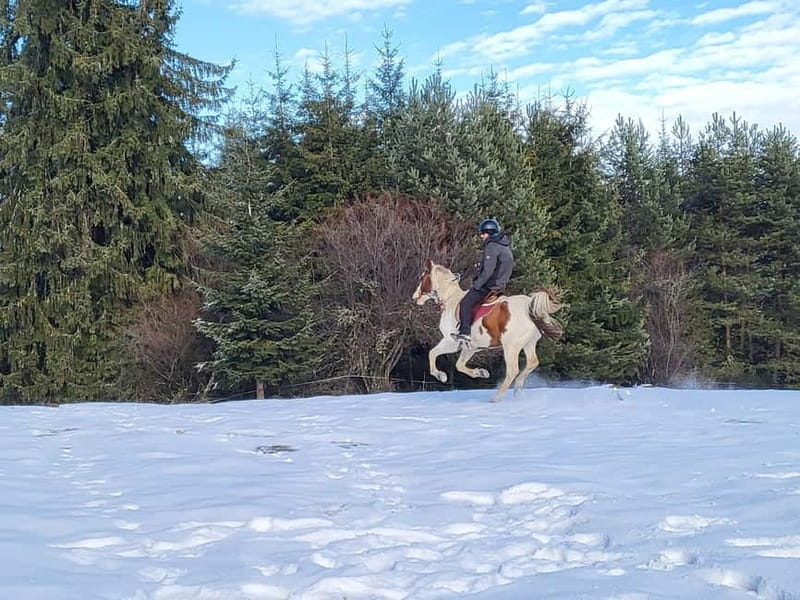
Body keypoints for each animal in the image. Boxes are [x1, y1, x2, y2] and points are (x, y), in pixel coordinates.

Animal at [412, 259, 564, 402]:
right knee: (532, 362)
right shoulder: (470, 347)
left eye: (422, 277)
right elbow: (459, 365)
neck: (450, 300)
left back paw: (496, 398)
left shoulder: (451, 342)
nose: (414, 297)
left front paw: (441, 376)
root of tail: (529, 308)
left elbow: (432, 353)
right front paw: (481, 373)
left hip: (511, 347)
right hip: (528, 343)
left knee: (513, 370)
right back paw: (518, 391)